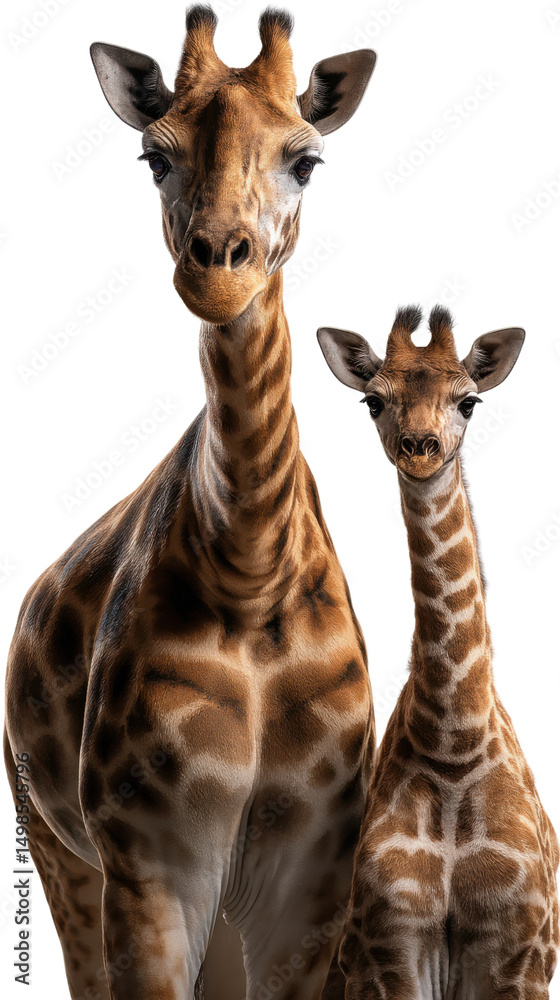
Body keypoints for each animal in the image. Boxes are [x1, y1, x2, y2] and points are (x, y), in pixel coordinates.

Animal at [4, 8, 377, 1000]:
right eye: (154, 156)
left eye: (306, 159)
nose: (218, 269)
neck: (250, 574)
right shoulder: (149, 863)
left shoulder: (309, 879)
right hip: (54, 844)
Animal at [317, 305, 559, 999]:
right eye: (373, 400)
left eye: (468, 401)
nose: (420, 449)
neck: (453, 743)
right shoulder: (389, 954)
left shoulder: (517, 959)